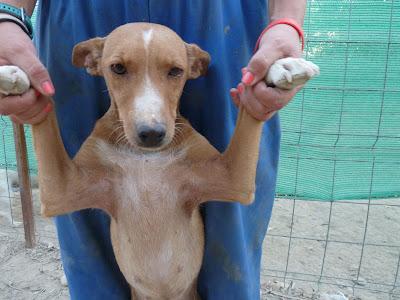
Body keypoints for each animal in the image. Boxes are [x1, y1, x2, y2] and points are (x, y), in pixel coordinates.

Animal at [0, 23, 318, 300]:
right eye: (118, 68)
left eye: (176, 71)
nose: (151, 134)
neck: (145, 159)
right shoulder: (59, 192)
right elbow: (44, 111)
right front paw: (16, 74)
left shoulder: (234, 179)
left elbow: (251, 110)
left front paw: (278, 68)